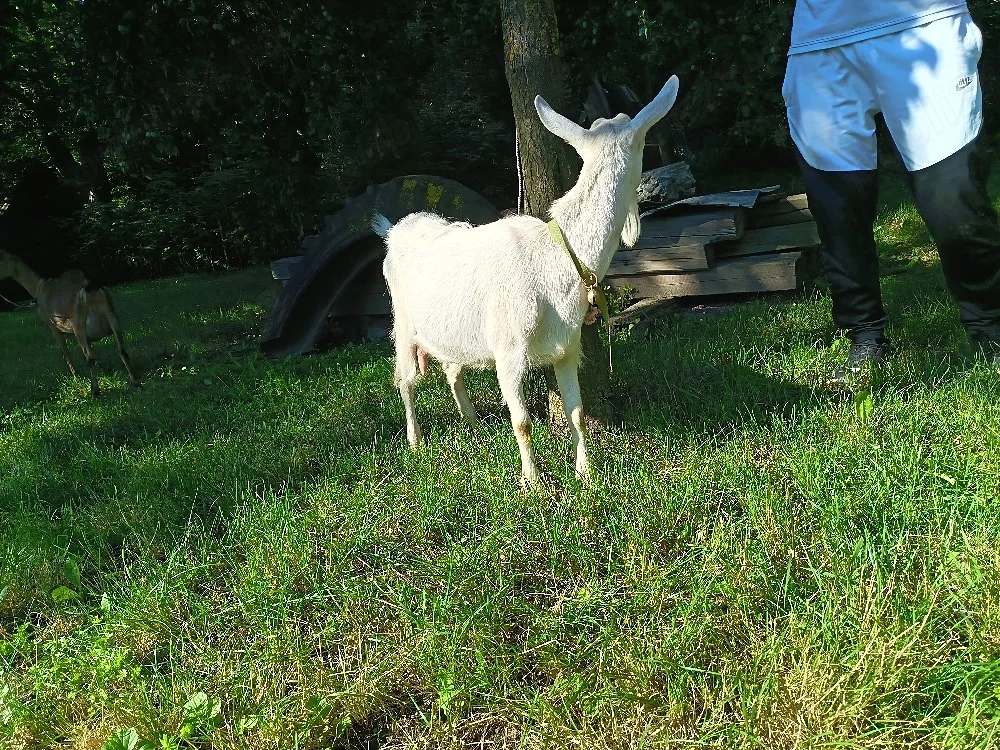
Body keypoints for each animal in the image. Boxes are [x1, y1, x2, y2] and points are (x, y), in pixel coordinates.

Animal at [0, 250, 140, 396]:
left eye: (1, 259)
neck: (39, 288)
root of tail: (90, 291)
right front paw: (104, 370)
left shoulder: (53, 328)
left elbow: (66, 354)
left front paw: (76, 375)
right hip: (111, 315)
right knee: (121, 350)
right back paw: (135, 381)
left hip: (78, 325)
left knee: (89, 357)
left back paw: (95, 390)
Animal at [374, 76, 679, 485]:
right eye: (645, 144)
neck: (558, 256)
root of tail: (395, 230)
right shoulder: (508, 349)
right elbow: (522, 422)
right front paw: (532, 481)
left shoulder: (567, 346)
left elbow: (577, 412)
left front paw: (585, 471)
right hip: (404, 322)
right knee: (405, 380)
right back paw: (416, 440)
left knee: (452, 369)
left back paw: (474, 424)